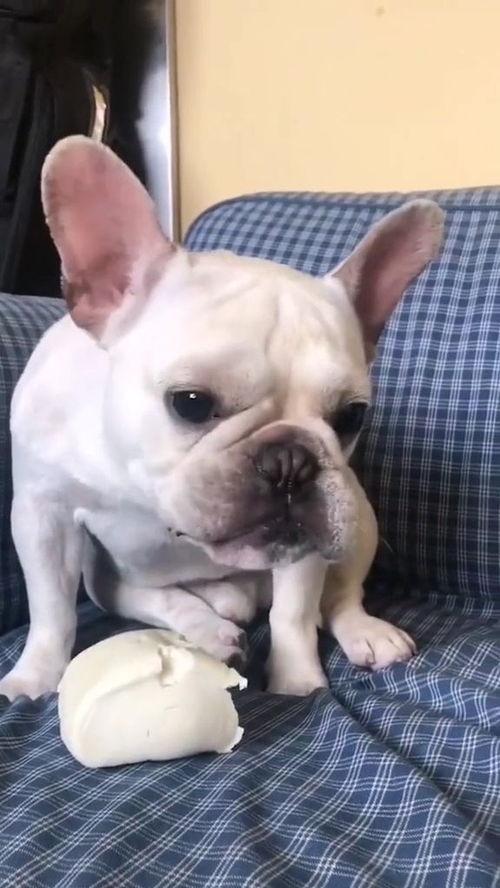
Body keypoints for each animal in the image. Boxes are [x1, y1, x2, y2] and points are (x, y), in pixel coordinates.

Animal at [0, 137, 444, 701]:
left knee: (338, 595)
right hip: (105, 584)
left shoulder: (303, 546)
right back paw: (212, 631)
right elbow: (51, 611)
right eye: (190, 401)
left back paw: (364, 631)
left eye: (351, 415)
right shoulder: (42, 516)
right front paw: (34, 676)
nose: (290, 461)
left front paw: (297, 681)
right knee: (155, 600)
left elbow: (294, 615)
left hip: (358, 519)